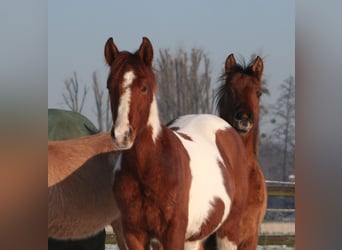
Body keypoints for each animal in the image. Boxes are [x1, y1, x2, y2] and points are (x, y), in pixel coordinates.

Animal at [103, 37, 248, 250]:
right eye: (109, 87)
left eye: (144, 87)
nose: (122, 135)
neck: (148, 170)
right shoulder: (134, 234)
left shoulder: (173, 234)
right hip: (193, 239)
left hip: (228, 231)